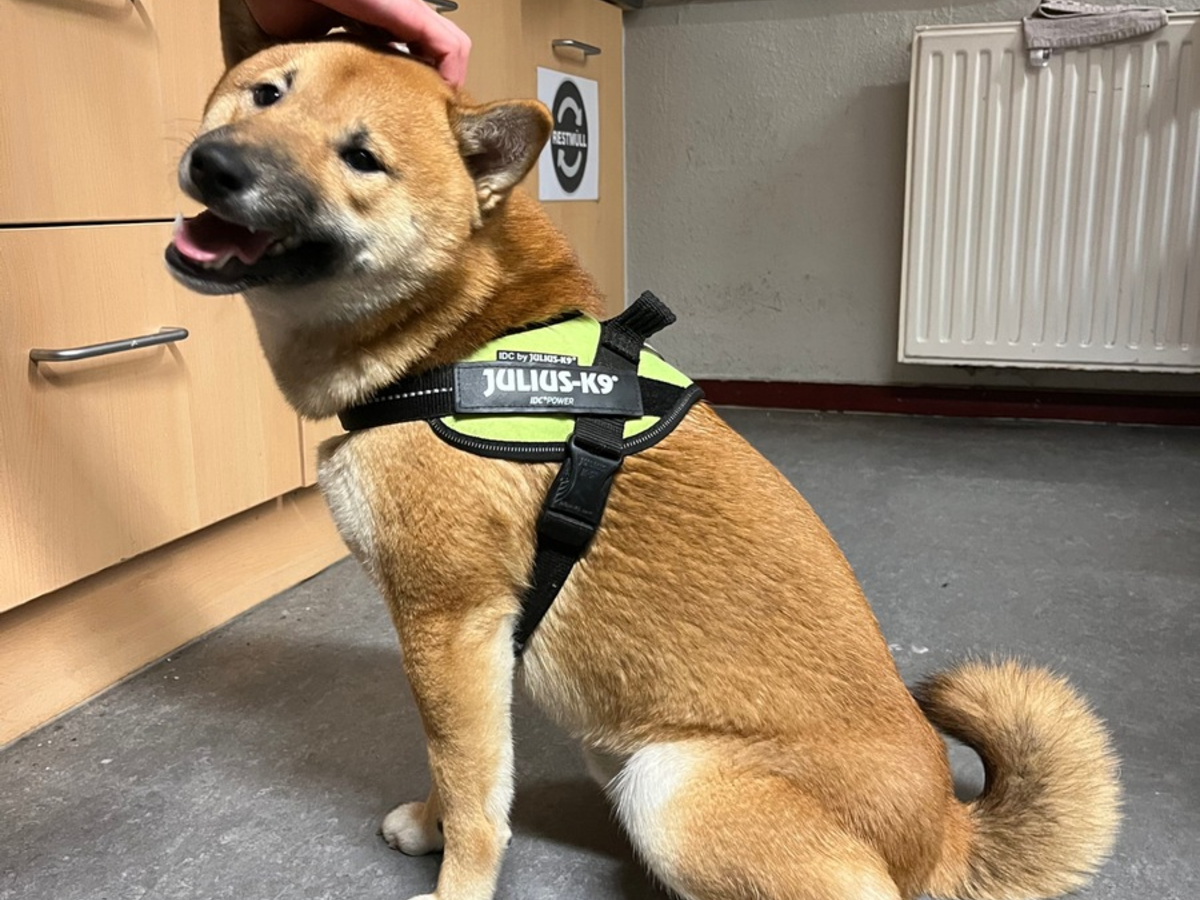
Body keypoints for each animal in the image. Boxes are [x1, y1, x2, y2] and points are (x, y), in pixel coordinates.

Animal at [165, 6, 1120, 899]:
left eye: (362, 157)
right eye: (265, 93)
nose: (218, 166)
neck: (456, 339)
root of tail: (944, 833)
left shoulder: (450, 622)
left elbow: (477, 803)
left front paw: (454, 872)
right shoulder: (470, 650)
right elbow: (467, 770)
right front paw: (430, 822)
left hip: (672, 789)